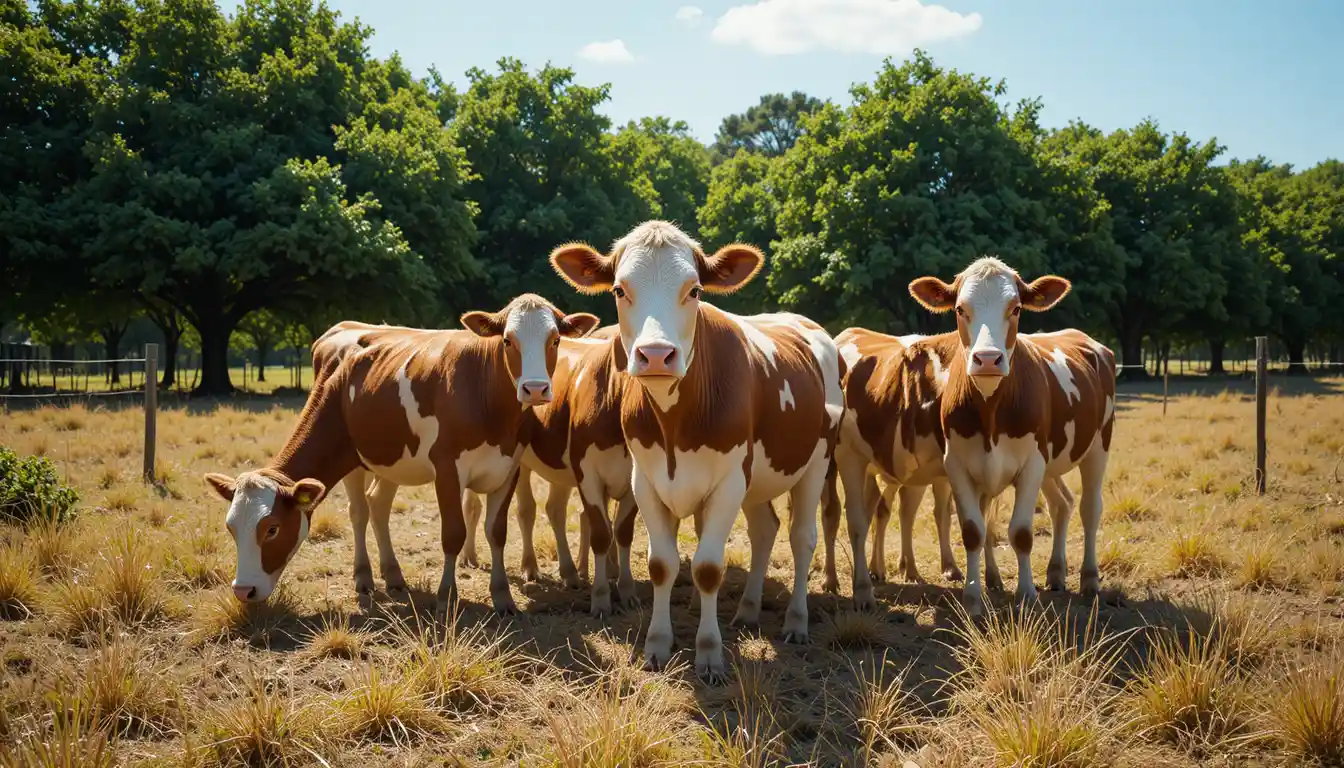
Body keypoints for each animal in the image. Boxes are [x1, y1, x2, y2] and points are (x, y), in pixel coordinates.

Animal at [201, 295, 600, 617]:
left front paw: (503, 598)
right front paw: (446, 598)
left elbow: (496, 532)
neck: (485, 395)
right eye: (507, 339)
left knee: (377, 505)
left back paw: (392, 575)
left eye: (556, 339)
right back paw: (364, 576)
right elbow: (452, 533)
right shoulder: (446, 469)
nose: (244, 590)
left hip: (389, 457)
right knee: (360, 511)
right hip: (357, 456)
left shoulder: (509, 467)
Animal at [550, 220, 844, 682]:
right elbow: (661, 564)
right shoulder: (646, 480)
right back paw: (748, 611)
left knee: (802, 538)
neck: (676, 423)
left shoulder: (729, 482)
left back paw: (796, 621)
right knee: (765, 530)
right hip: (758, 481)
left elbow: (707, 568)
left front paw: (708, 652)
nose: (655, 355)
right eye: (619, 289)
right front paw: (657, 644)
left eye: (694, 290)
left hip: (816, 462)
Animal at [907, 257, 1116, 616]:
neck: (991, 410)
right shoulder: (958, 464)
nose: (988, 359)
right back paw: (1056, 572)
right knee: (1062, 503)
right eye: (960, 309)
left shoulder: (1032, 464)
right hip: (1051, 461)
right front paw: (973, 598)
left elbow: (1020, 533)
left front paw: (1027, 594)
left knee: (1090, 507)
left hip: (1098, 445)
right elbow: (974, 531)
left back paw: (1089, 578)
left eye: (1016, 308)